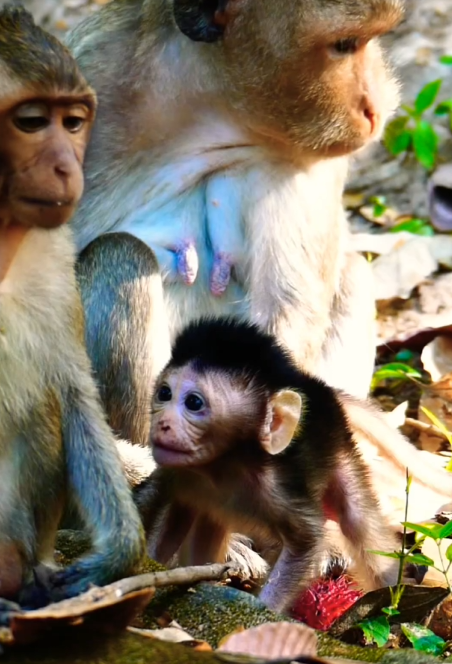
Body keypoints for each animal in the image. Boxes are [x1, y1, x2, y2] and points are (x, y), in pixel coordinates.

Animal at [136, 317, 401, 614]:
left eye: (194, 402)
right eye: (164, 393)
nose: (162, 423)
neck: (223, 467)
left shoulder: (277, 488)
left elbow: (306, 541)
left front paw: (263, 614)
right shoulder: (175, 471)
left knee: (356, 518)